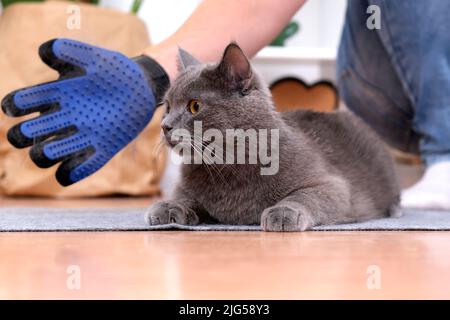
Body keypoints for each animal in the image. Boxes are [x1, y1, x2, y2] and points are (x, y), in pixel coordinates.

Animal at [145, 43, 400, 232]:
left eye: (195, 106)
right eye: (167, 107)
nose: (165, 126)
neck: (226, 166)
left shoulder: (333, 185)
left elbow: (306, 195)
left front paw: (284, 212)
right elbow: (186, 198)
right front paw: (167, 207)